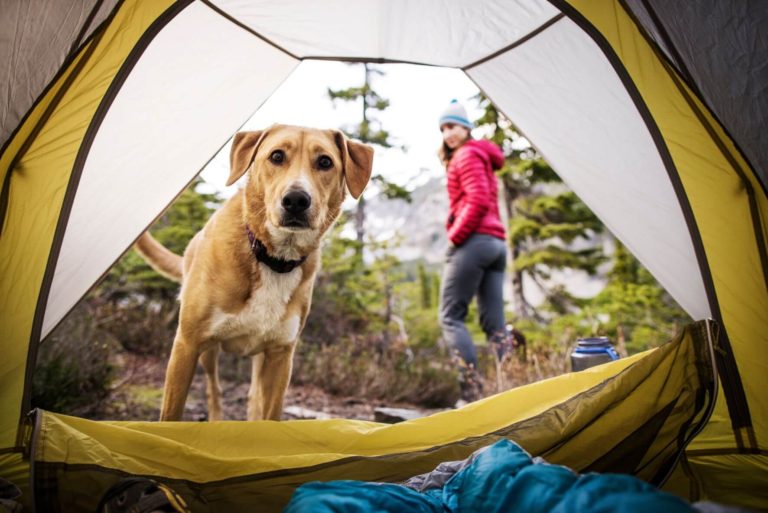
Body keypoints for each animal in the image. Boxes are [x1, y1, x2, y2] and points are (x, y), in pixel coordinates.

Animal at [136, 124, 376, 420]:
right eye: (277, 156)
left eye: (325, 162)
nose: (296, 200)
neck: (272, 259)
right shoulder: (187, 345)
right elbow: (172, 412)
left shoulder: (280, 357)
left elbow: (270, 412)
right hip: (207, 351)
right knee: (214, 389)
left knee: (253, 396)